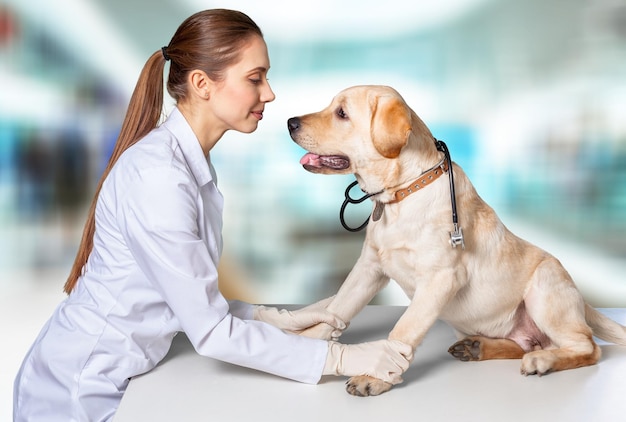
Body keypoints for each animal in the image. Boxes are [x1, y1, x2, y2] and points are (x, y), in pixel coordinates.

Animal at [286, 85, 624, 396]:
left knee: (587, 347)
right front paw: (300, 342)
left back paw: (543, 360)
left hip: (544, 288)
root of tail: (581, 300)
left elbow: (403, 329)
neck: (403, 192)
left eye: (342, 113)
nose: (290, 122)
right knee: (529, 344)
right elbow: (337, 310)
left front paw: (375, 375)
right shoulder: (369, 269)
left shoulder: (441, 279)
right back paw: (478, 347)